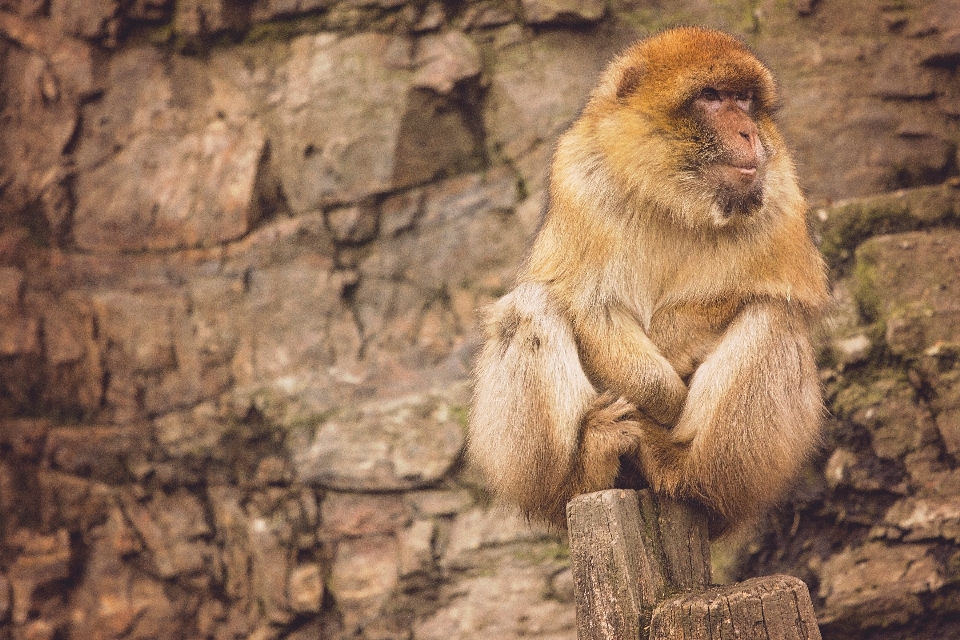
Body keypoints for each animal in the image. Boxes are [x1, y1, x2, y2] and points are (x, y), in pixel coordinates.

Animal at [464, 27, 824, 532]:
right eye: (711, 97)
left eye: (745, 99)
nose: (749, 132)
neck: (672, 198)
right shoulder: (580, 177)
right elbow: (589, 304)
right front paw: (664, 394)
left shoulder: (779, 191)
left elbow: (763, 294)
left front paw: (674, 350)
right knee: (530, 305)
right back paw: (583, 470)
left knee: (774, 316)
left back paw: (687, 474)